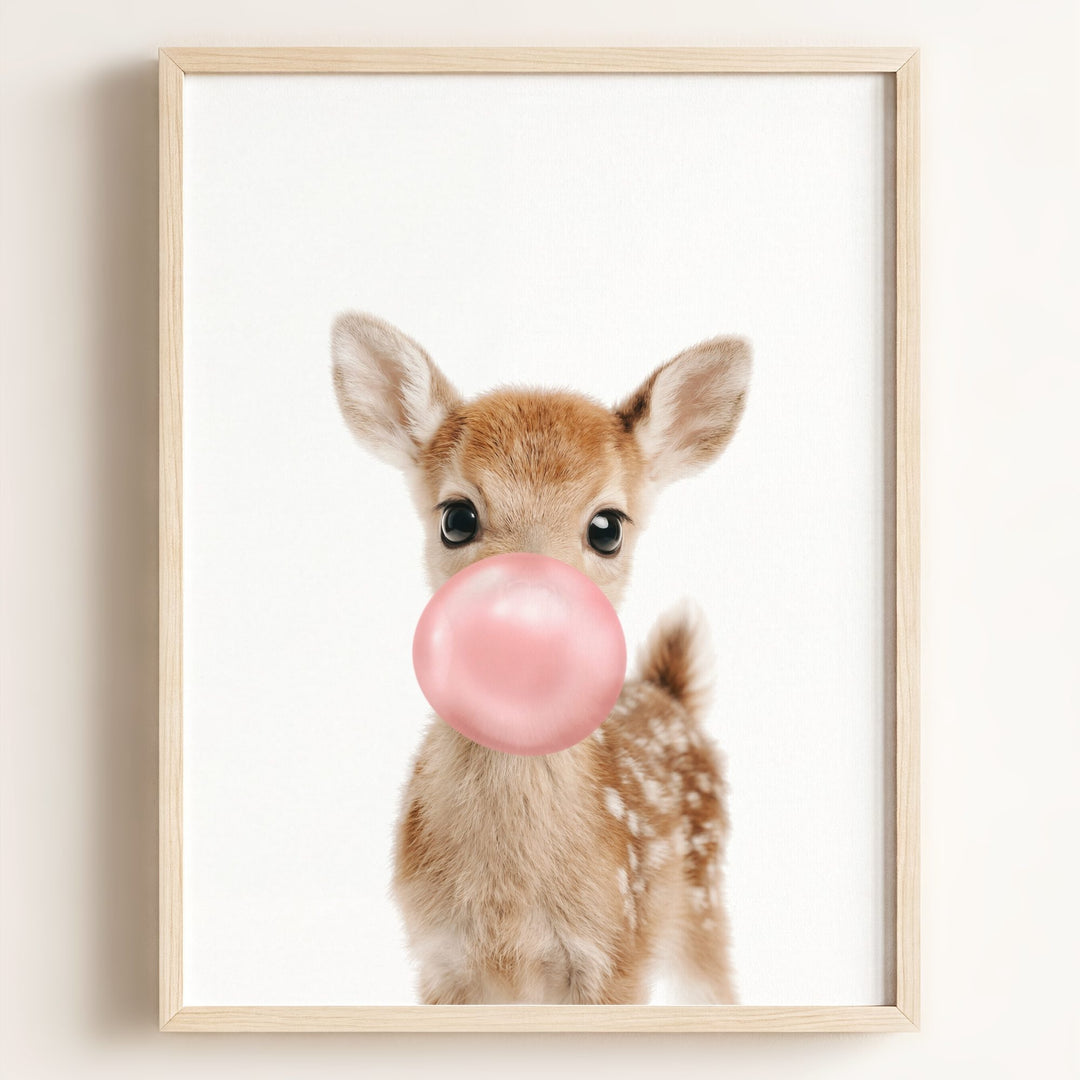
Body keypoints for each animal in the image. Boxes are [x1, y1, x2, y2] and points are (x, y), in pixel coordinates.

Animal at [332, 312, 751, 1005]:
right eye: (457, 517)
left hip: (704, 904)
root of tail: (670, 692)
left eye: (607, 527)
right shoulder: (438, 961)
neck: (509, 910)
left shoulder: (617, 954)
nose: (528, 616)